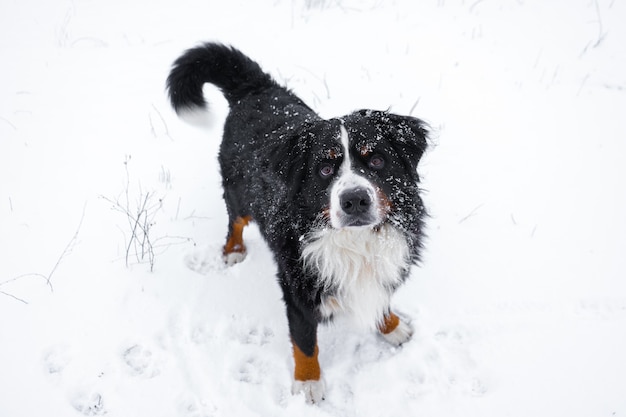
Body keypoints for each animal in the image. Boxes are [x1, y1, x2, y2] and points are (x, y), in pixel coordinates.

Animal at [167, 43, 428, 404]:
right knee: (235, 221)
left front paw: (391, 326)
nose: (355, 200)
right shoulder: (298, 288)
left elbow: (380, 299)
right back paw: (233, 250)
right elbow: (305, 343)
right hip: (238, 193)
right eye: (325, 169)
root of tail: (257, 86)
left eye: (376, 160)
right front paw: (308, 383)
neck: (355, 241)